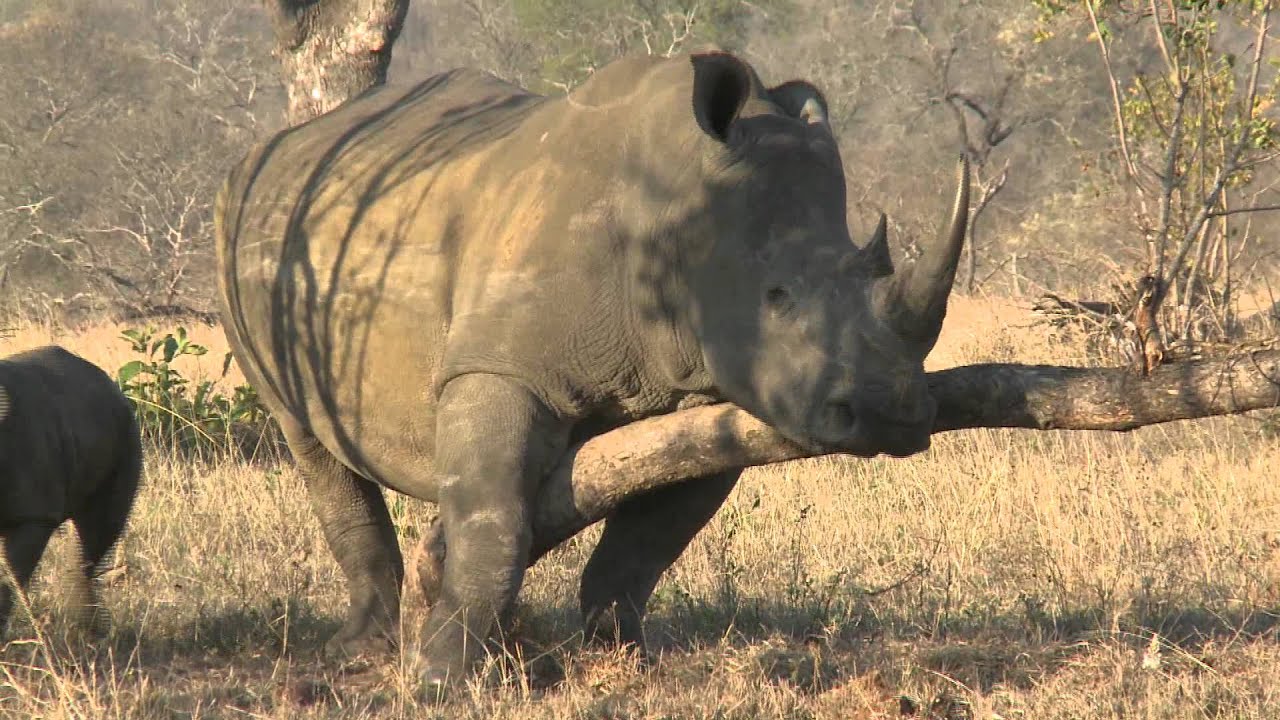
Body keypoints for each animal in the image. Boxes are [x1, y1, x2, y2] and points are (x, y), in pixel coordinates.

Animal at [215, 49, 969, 688]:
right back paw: (363, 650)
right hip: (244, 229)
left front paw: (623, 656)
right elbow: (492, 518)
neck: (675, 214)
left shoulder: (720, 391)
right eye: (776, 297)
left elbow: (649, 538)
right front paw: (441, 677)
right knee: (307, 439)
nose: (892, 414)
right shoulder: (497, 368)